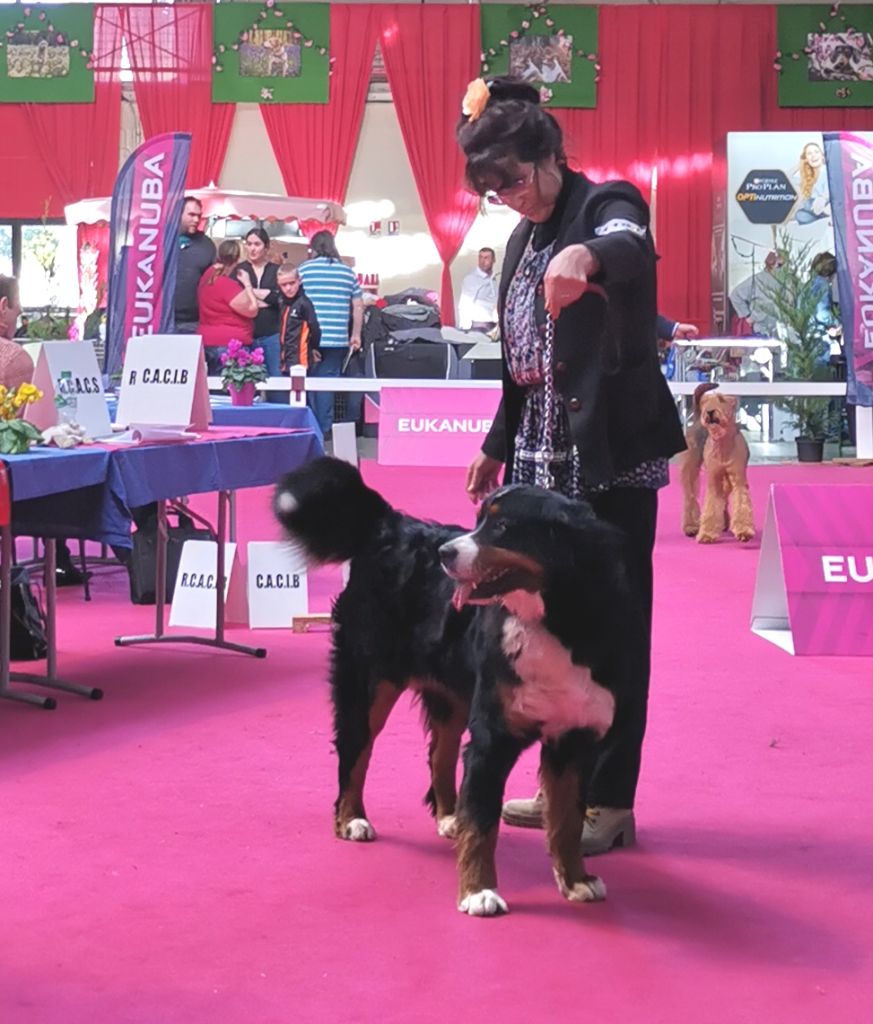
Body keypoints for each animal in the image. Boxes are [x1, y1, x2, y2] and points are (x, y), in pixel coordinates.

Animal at [276, 460, 642, 917]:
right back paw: (351, 819)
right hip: (369, 682)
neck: (554, 621)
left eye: (501, 526)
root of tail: (391, 523)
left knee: (440, 753)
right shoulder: (493, 736)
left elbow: (567, 821)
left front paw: (576, 880)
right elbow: (483, 824)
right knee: (355, 752)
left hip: (453, 695)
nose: (444, 553)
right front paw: (478, 891)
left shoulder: (573, 740)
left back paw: (449, 817)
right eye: (479, 519)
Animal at [679, 382, 753, 544]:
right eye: (706, 401)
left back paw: (724, 522)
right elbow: (711, 505)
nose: (709, 411)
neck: (723, 445)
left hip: (726, 481)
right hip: (690, 468)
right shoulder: (714, 478)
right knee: (690, 499)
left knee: (723, 500)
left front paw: (744, 532)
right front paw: (706, 534)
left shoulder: (737, 478)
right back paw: (691, 527)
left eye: (721, 399)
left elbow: (740, 502)